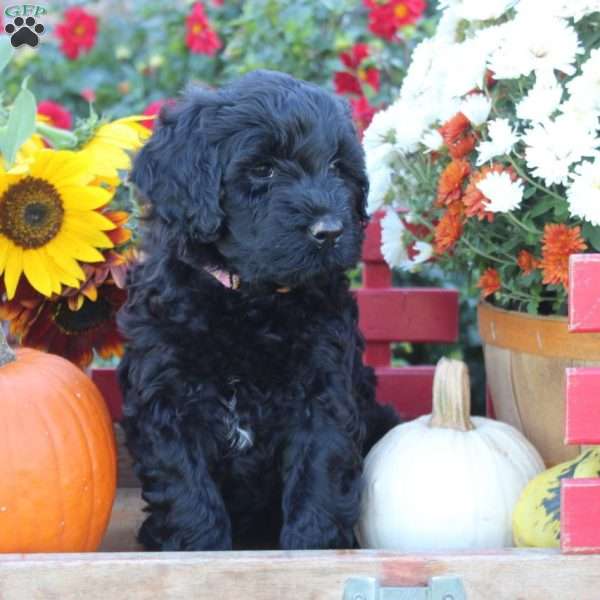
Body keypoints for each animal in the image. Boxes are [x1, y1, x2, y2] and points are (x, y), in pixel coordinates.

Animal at [117, 68, 398, 552]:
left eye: (336, 167)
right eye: (262, 169)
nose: (330, 231)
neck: (249, 300)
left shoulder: (323, 393)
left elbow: (319, 478)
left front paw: (312, 547)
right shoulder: (166, 400)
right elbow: (187, 491)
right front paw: (199, 549)